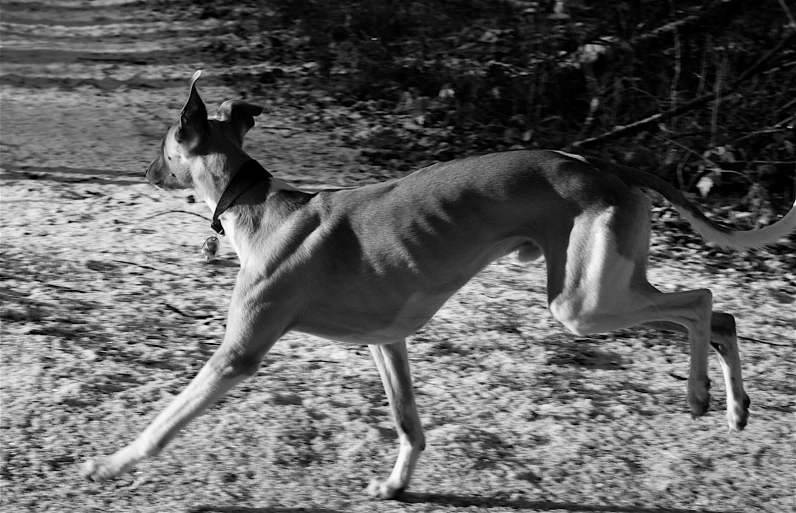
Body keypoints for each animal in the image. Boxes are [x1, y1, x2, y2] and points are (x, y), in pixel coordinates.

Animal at [82, 71, 796, 496]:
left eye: (164, 145)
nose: (144, 173)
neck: (258, 204)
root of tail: (603, 163)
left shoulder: (239, 354)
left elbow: (165, 422)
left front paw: (111, 463)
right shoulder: (386, 341)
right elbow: (409, 424)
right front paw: (397, 485)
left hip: (581, 303)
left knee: (703, 301)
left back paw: (703, 394)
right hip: (605, 286)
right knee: (722, 315)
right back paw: (734, 404)